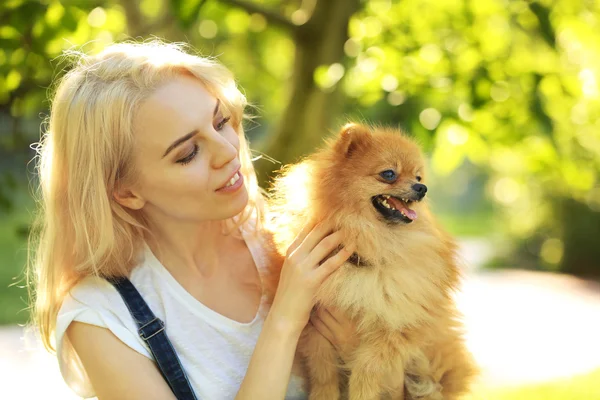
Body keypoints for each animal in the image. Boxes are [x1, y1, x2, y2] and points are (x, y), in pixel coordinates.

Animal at [262, 123, 478, 398]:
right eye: (389, 174)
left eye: (418, 177)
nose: (422, 189)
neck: (369, 244)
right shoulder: (314, 325)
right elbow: (323, 372)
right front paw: (324, 394)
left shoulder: (397, 325)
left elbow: (367, 367)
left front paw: (361, 391)